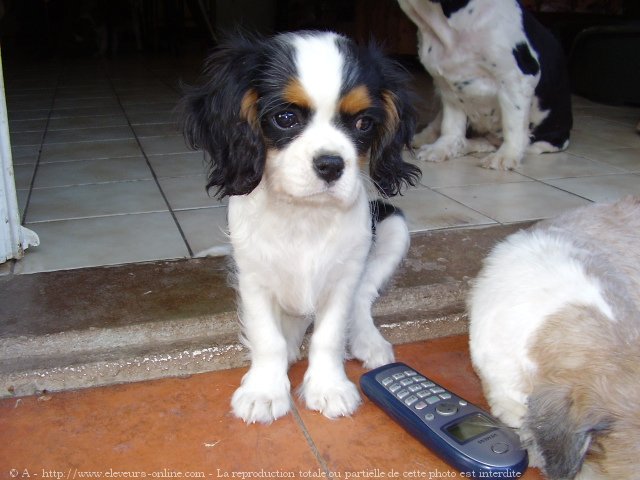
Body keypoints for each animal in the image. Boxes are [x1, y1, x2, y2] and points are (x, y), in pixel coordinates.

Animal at [180, 31, 420, 422]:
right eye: (286, 117)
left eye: (364, 124)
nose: (331, 165)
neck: (304, 214)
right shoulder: (253, 278)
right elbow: (267, 338)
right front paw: (264, 390)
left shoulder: (343, 278)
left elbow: (329, 335)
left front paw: (329, 387)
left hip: (393, 227)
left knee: (363, 296)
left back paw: (369, 341)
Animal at [398, 0, 572, 171]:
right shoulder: (449, 84)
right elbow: (451, 125)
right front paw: (442, 148)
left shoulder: (516, 78)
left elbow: (513, 123)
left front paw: (506, 155)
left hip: (545, 140)